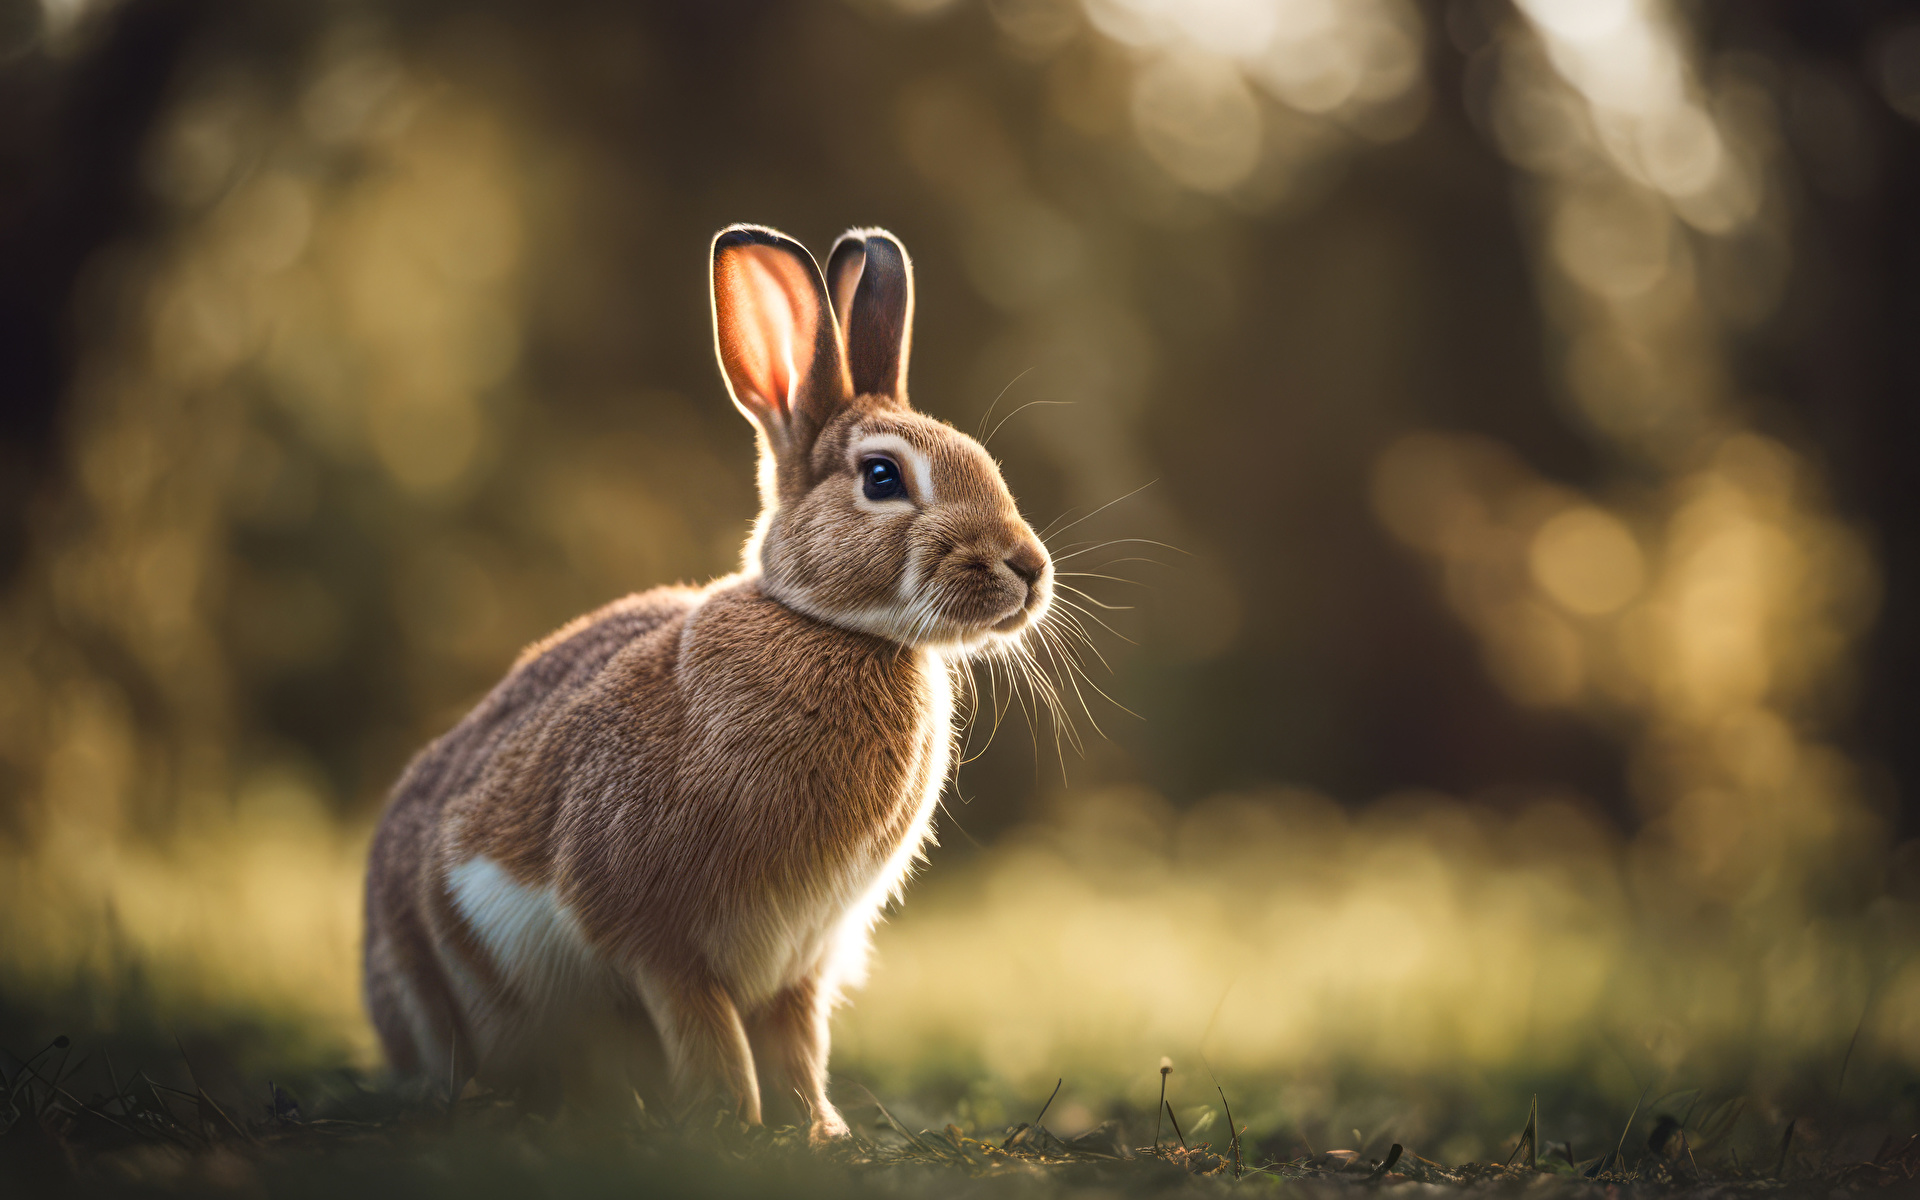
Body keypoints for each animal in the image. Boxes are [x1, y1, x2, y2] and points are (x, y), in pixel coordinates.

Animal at [360, 226, 1052, 1144]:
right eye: (882, 478)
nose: (1029, 568)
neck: (838, 630)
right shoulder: (654, 934)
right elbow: (709, 1028)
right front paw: (732, 1125)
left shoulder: (804, 959)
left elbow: (799, 1041)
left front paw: (817, 1132)